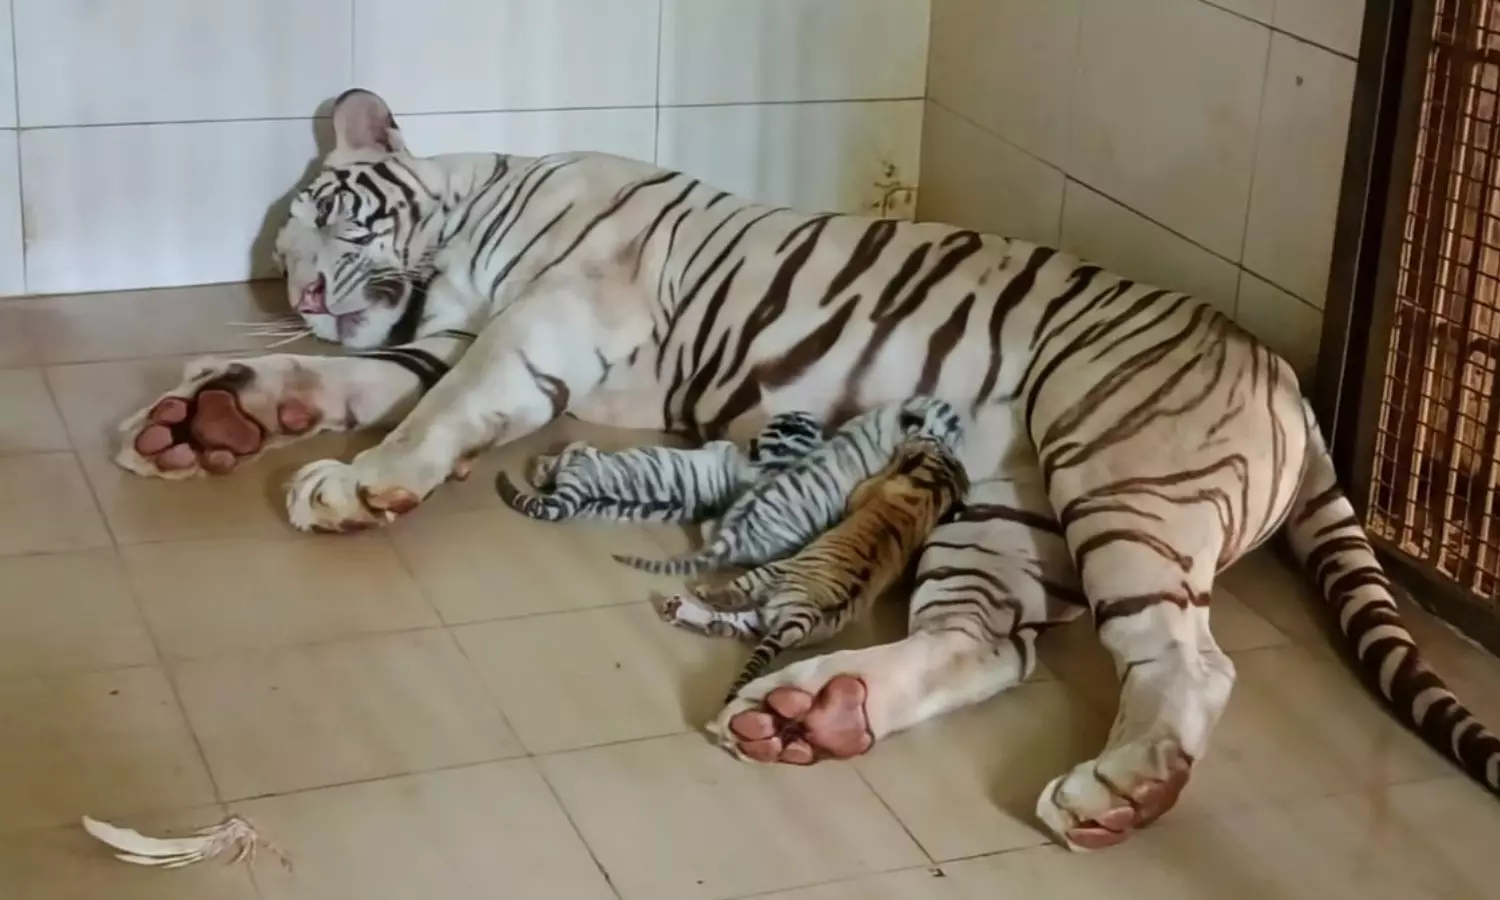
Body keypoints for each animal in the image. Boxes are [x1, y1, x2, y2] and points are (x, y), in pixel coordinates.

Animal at [494, 410, 823, 523]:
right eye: (800, 418)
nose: (816, 417)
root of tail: (574, 498)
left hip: (584, 456)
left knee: (560, 460)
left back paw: (542, 464)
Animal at [610, 395, 965, 576]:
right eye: (950, 424)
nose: (966, 429)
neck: (888, 422)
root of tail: (735, 533)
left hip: (733, 511)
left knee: (710, 526)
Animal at [656, 436, 969, 711]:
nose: (914, 434)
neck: (935, 484)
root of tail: (806, 616)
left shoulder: (864, 491)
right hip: (767, 621)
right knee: (723, 624)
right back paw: (679, 610)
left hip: (770, 574)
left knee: (729, 598)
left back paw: (697, 593)